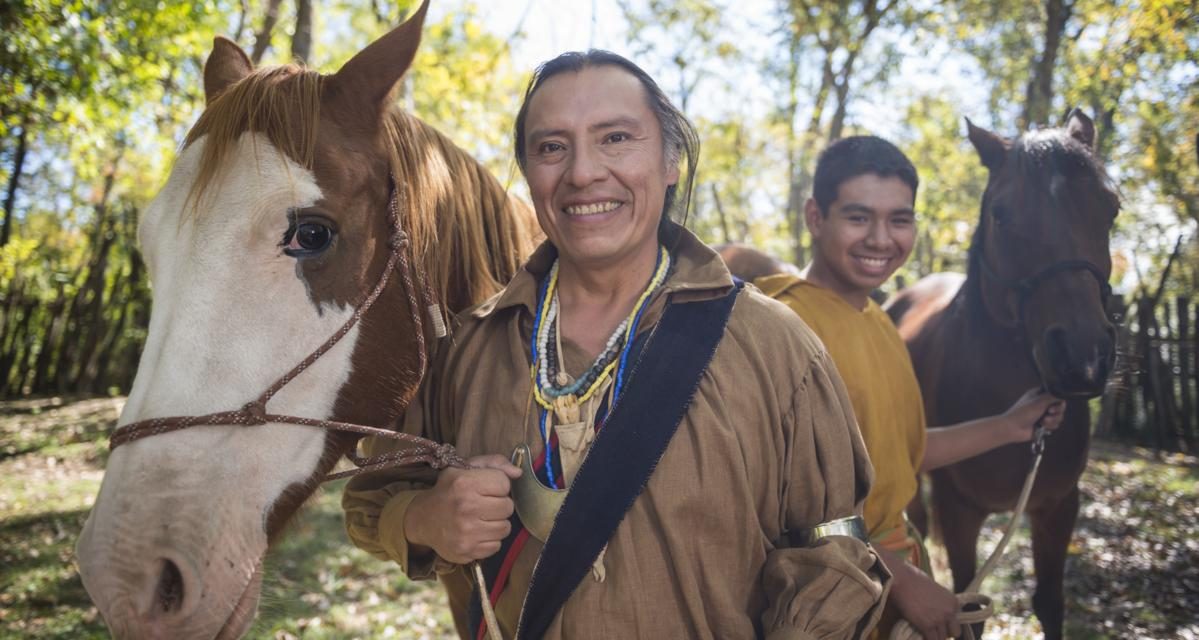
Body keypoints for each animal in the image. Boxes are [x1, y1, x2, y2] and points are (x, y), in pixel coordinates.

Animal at [887, 110, 1117, 640]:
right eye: (1001, 214)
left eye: (1111, 207)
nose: (1083, 357)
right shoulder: (960, 512)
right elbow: (967, 609)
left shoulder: (1058, 506)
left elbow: (1050, 603)